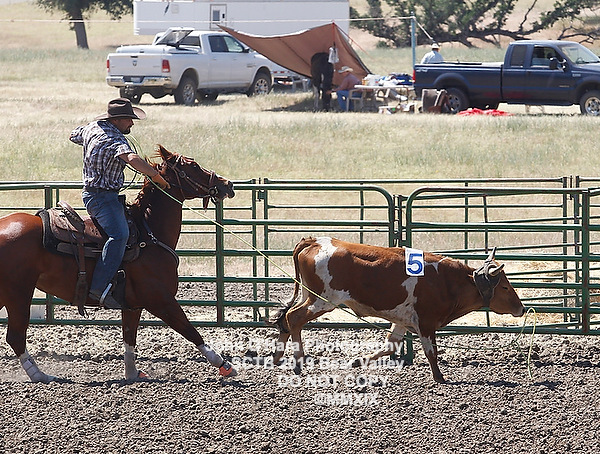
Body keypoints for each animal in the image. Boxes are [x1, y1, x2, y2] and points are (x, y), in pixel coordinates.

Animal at [0, 145, 237, 383]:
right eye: (194, 166)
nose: (227, 184)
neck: (148, 233)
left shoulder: (133, 305)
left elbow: (129, 338)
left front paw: (132, 374)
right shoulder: (160, 299)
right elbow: (189, 330)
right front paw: (224, 365)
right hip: (18, 294)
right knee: (16, 336)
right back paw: (40, 375)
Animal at [271, 237, 525, 383]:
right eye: (504, 286)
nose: (521, 309)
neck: (447, 282)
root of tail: (313, 241)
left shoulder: (403, 321)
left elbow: (391, 345)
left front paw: (359, 360)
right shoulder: (426, 322)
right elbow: (431, 352)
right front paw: (439, 377)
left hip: (308, 295)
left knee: (286, 319)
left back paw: (277, 356)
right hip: (322, 300)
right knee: (294, 317)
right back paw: (297, 361)